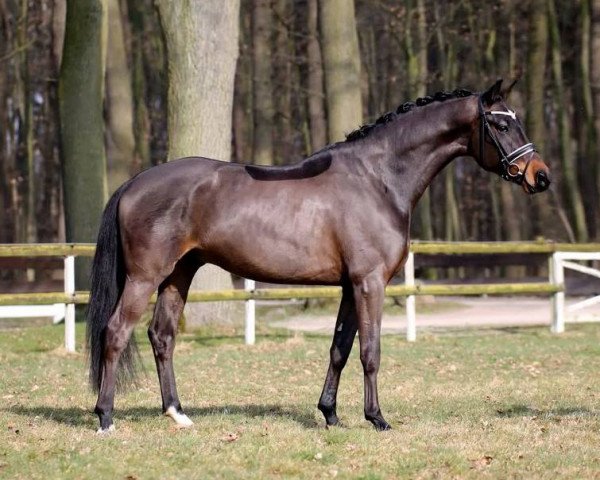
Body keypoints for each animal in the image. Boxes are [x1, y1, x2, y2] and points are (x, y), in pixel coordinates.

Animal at [86, 79, 552, 432]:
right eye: (500, 124)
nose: (540, 176)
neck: (377, 179)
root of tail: (133, 183)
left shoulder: (350, 285)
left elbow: (339, 349)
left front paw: (330, 415)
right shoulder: (369, 283)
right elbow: (370, 352)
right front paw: (376, 418)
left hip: (178, 274)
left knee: (162, 336)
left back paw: (177, 413)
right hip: (146, 277)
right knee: (116, 332)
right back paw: (105, 417)